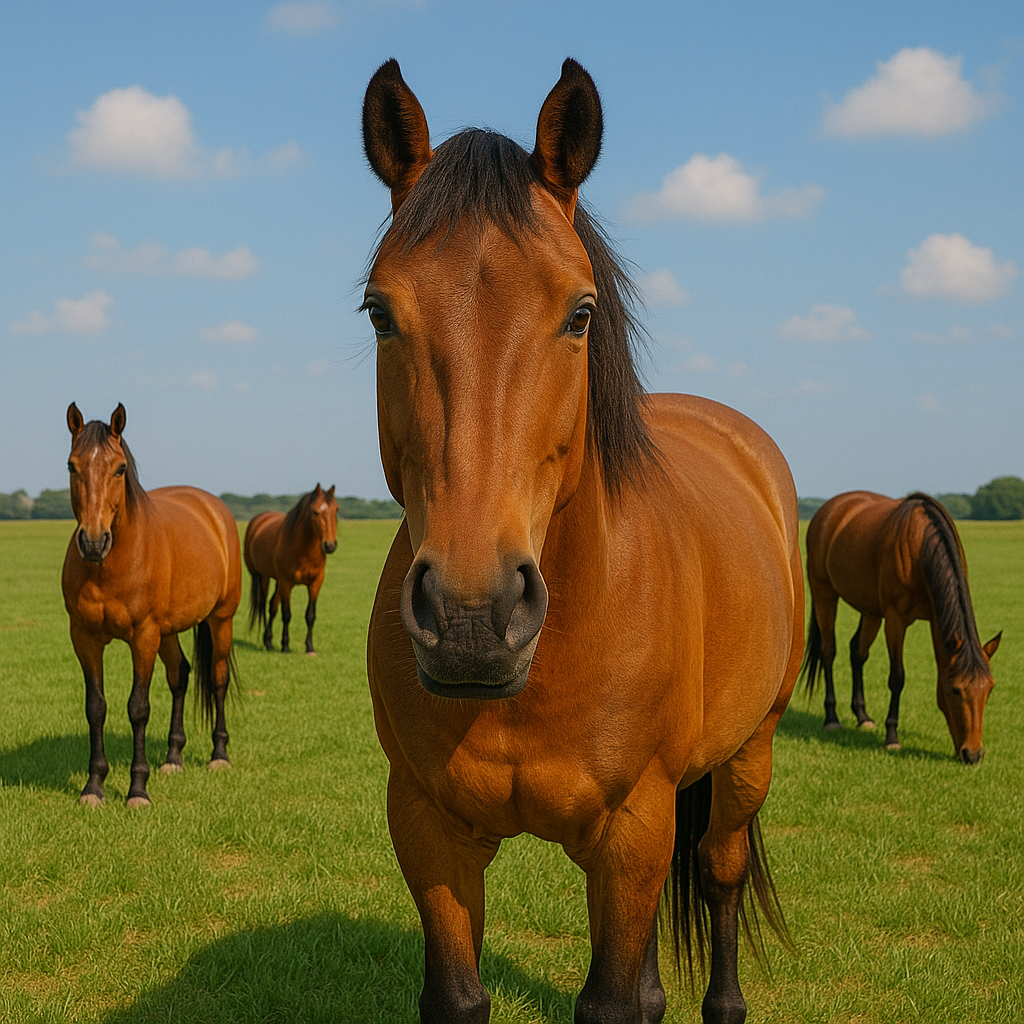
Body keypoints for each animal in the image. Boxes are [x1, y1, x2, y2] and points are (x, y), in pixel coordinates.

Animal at [61, 403, 242, 807]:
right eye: (72, 466)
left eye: (119, 468)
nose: (93, 542)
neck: (109, 565)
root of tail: (212, 506)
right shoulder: (84, 637)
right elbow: (95, 707)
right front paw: (93, 786)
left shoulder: (143, 637)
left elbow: (138, 708)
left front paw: (137, 789)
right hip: (169, 631)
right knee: (180, 676)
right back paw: (173, 758)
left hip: (220, 619)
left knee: (217, 679)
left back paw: (219, 755)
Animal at [244, 484, 339, 655]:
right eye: (315, 512)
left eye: (336, 510)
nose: (330, 545)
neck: (303, 550)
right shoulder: (286, 583)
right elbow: (286, 614)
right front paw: (285, 645)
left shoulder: (315, 583)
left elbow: (310, 615)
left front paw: (309, 647)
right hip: (263, 577)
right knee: (264, 605)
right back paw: (267, 641)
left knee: (272, 606)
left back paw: (269, 641)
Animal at [360, 59, 804, 1024]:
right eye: (379, 312)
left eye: (580, 313)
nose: (473, 616)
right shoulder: (426, 829)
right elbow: (465, 997)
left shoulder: (633, 828)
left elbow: (611, 1001)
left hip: (748, 757)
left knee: (720, 874)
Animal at [802, 490, 1000, 762]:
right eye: (955, 690)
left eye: (989, 689)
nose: (973, 754)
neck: (920, 546)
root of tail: (829, 508)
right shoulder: (895, 620)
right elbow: (897, 677)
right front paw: (892, 737)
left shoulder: (936, 619)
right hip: (824, 593)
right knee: (828, 651)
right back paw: (832, 719)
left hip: (870, 609)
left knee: (857, 652)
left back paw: (862, 717)